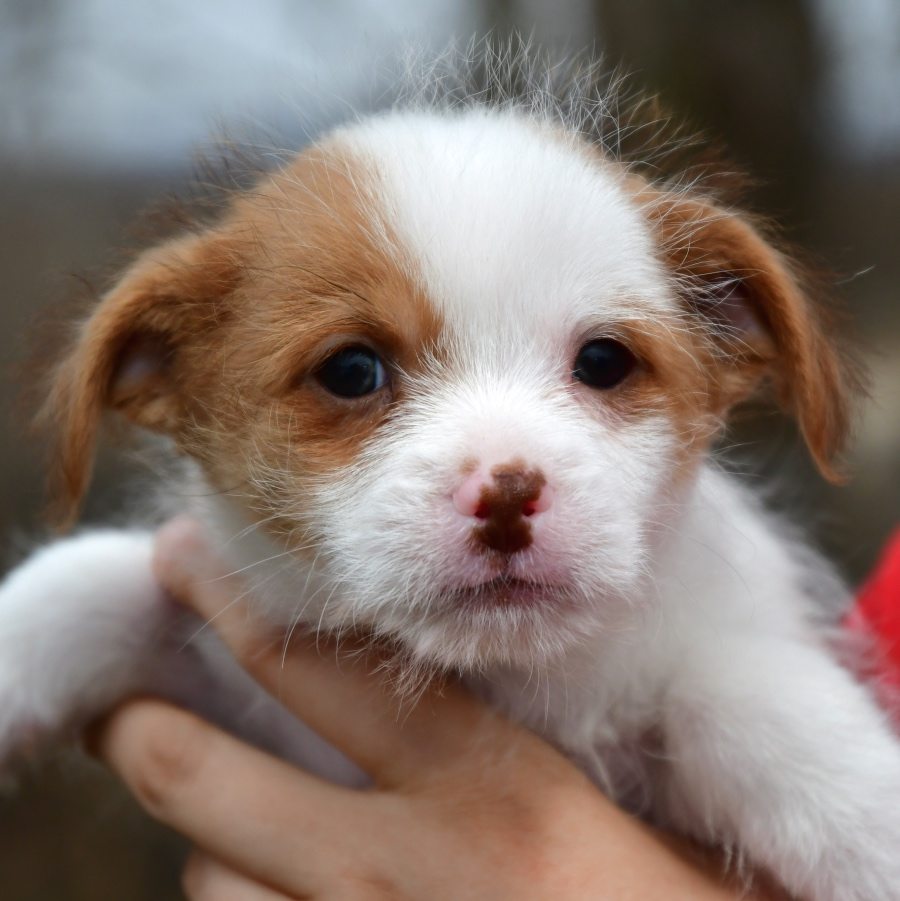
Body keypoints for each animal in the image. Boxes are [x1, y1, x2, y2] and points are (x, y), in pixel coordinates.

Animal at [1, 52, 900, 896]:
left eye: (604, 360)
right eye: (352, 370)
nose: (507, 492)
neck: (508, 681)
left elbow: (741, 695)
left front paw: (866, 821)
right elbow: (98, 579)